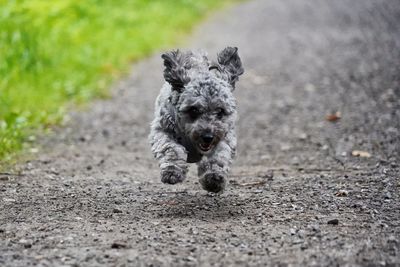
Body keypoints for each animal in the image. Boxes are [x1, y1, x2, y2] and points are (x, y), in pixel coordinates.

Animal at [150, 46, 244, 193]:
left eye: (220, 111)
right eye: (193, 110)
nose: (208, 136)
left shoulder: (225, 136)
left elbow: (219, 155)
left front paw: (214, 178)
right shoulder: (162, 130)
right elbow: (172, 149)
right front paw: (172, 171)